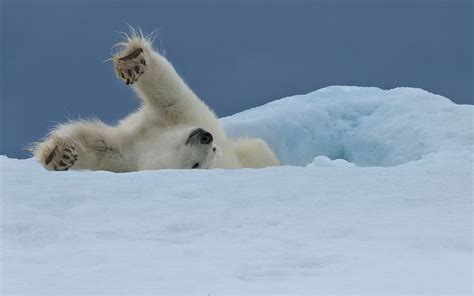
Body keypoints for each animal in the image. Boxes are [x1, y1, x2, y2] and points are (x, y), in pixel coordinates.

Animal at [31, 30, 280, 171]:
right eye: (213, 145)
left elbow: (100, 149)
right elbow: (169, 93)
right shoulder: (178, 118)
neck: (156, 142)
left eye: (197, 165)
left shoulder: (131, 157)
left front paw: (60, 154)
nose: (205, 136)